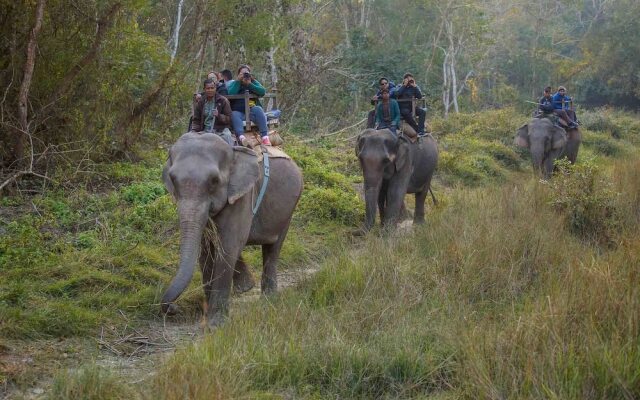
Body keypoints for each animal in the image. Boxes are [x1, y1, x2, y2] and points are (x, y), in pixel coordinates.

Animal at [159, 133, 302, 326]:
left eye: (214, 181)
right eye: (172, 179)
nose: (174, 308)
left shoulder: (242, 196)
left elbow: (228, 245)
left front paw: (216, 324)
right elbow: (206, 250)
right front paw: (207, 314)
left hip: (289, 208)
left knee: (273, 248)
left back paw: (268, 301)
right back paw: (246, 287)